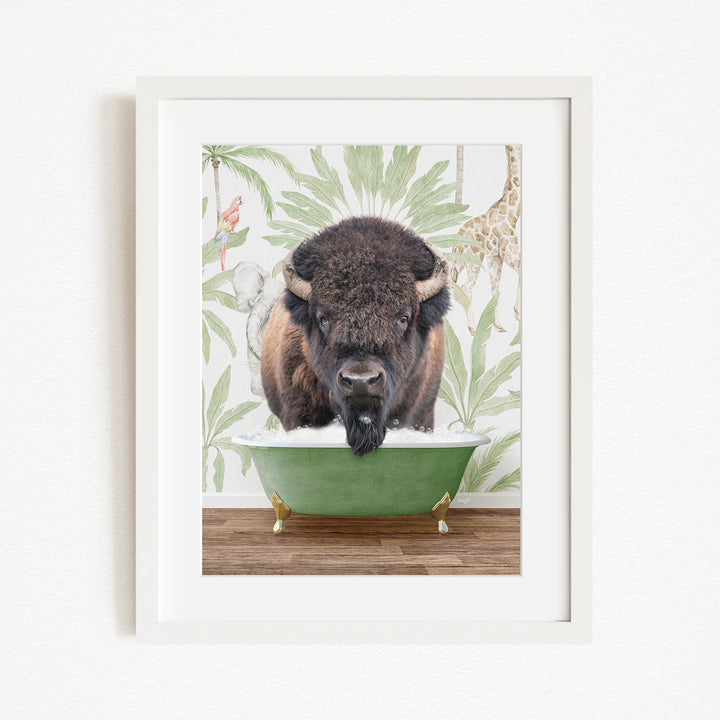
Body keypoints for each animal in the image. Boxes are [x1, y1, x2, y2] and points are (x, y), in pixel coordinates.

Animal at [451, 145, 521, 333]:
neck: (512, 212)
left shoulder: (494, 257)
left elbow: (495, 290)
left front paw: (499, 325)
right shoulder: (509, 252)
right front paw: (517, 312)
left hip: (462, 263)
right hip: (474, 260)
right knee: (466, 288)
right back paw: (472, 328)